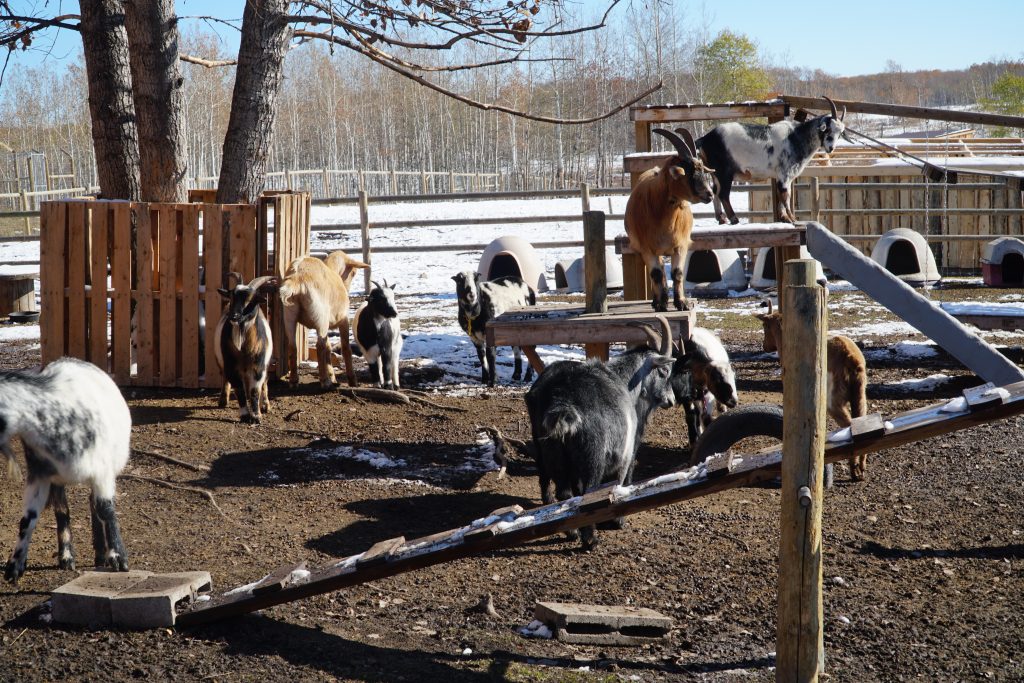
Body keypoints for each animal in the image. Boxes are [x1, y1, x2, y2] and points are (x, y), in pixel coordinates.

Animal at [0, 358, 132, 581]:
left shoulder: (103, 472)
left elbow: (106, 509)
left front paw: (118, 557)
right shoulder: (40, 476)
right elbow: (28, 518)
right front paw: (14, 566)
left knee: (93, 504)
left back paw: (100, 554)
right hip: (58, 480)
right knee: (62, 510)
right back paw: (67, 557)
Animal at [212, 274, 276, 423]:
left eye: (251, 300)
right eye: (231, 297)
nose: (234, 316)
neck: (243, 349)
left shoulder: (258, 366)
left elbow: (255, 390)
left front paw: (257, 415)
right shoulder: (230, 365)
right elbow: (239, 389)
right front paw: (245, 415)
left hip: (266, 363)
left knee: (265, 382)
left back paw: (265, 405)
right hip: (222, 362)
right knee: (225, 378)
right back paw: (223, 400)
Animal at [278, 250, 370, 389]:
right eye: (353, 273)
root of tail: (297, 278)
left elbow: (328, 348)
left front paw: (332, 376)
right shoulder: (343, 320)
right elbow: (345, 348)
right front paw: (352, 380)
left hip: (289, 315)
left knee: (293, 346)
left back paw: (294, 381)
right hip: (321, 318)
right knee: (319, 345)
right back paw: (324, 381)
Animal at [528, 317, 688, 548]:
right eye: (664, 371)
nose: (671, 400)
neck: (624, 382)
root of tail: (563, 407)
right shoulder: (625, 453)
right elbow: (620, 481)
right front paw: (617, 520)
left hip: (551, 451)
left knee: (563, 491)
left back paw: (571, 532)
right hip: (592, 458)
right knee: (586, 494)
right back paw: (590, 539)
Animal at [618, 126, 716, 313]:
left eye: (701, 170)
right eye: (689, 172)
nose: (709, 194)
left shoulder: (681, 245)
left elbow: (677, 272)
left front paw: (682, 302)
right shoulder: (647, 248)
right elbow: (655, 273)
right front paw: (661, 304)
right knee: (656, 271)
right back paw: (656, 300)